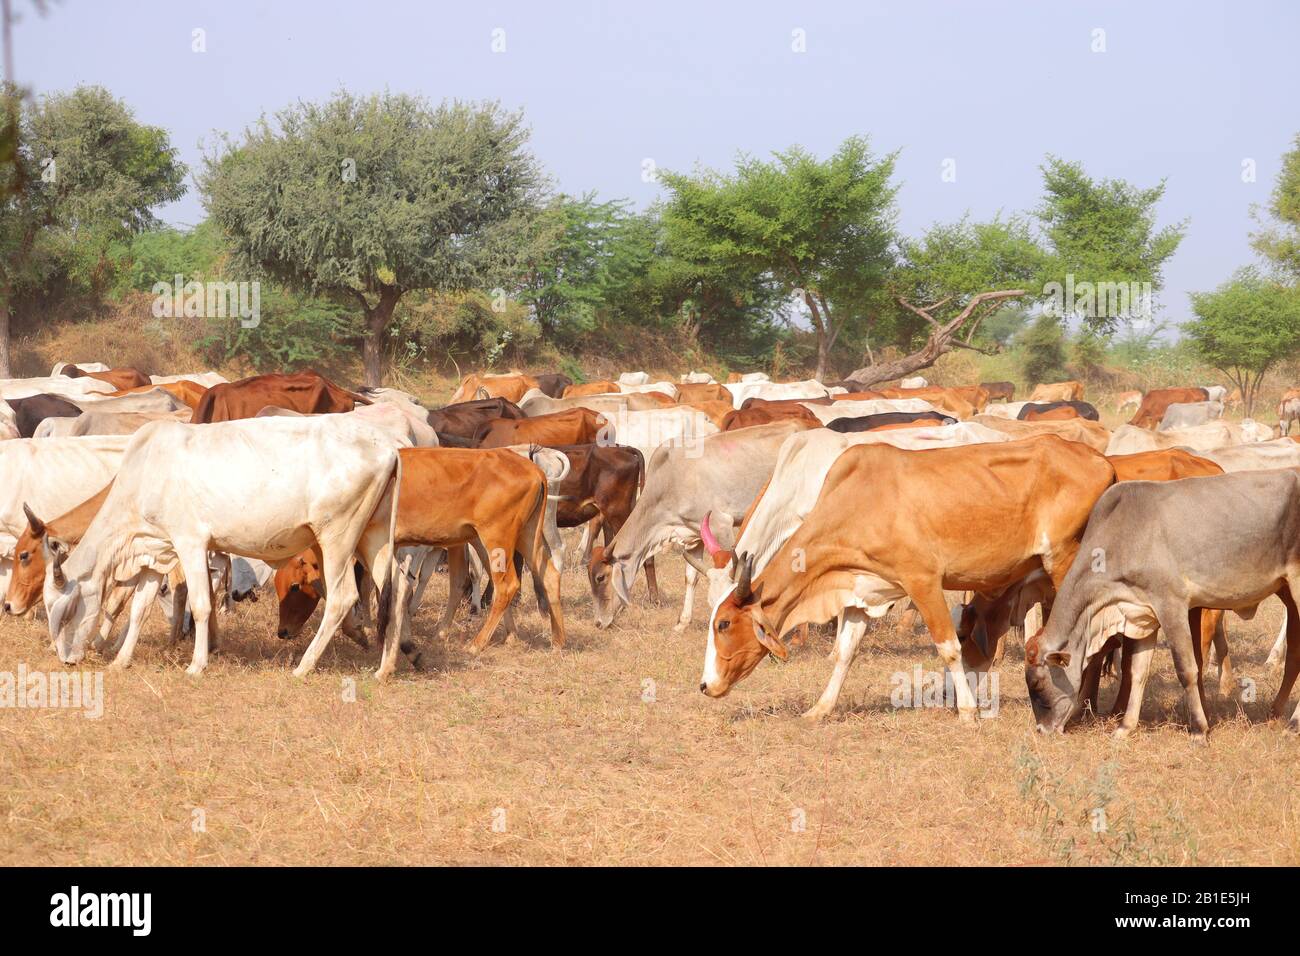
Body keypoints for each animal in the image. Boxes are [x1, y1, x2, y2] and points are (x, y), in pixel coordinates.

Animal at [44, 416, 400, 676]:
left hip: (337, 538)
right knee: (396, 591)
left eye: (67, 611)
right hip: (373, 537)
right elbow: (139, 608)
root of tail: (389, 447)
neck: (146, 472)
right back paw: (385, 669)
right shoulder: (157, 549)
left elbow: (202, 605)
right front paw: (121, 661)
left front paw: (196, 665)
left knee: (342, 599)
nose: (66, 659)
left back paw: (304, 667)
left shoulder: (190, 543)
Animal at [702, 437, 1118, 723]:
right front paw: (819, 709)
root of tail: (1101, 460)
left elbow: (949, 648)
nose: (706, 685)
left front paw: (968, 712)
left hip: (1065, 564)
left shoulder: (923, 582)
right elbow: (844, 653)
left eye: (724, 624)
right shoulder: (861, 593)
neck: (858, 500)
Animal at [1024, 470, 1300, 738]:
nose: (1041, 730)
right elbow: (1137, 672)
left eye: (1036, 682)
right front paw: (1124, 728)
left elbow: (1187, 669)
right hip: (1286, 593)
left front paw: (1199, 729)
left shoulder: (1171, 605)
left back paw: (1293, 722)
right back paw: (1276, 714)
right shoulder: (1143, 613)